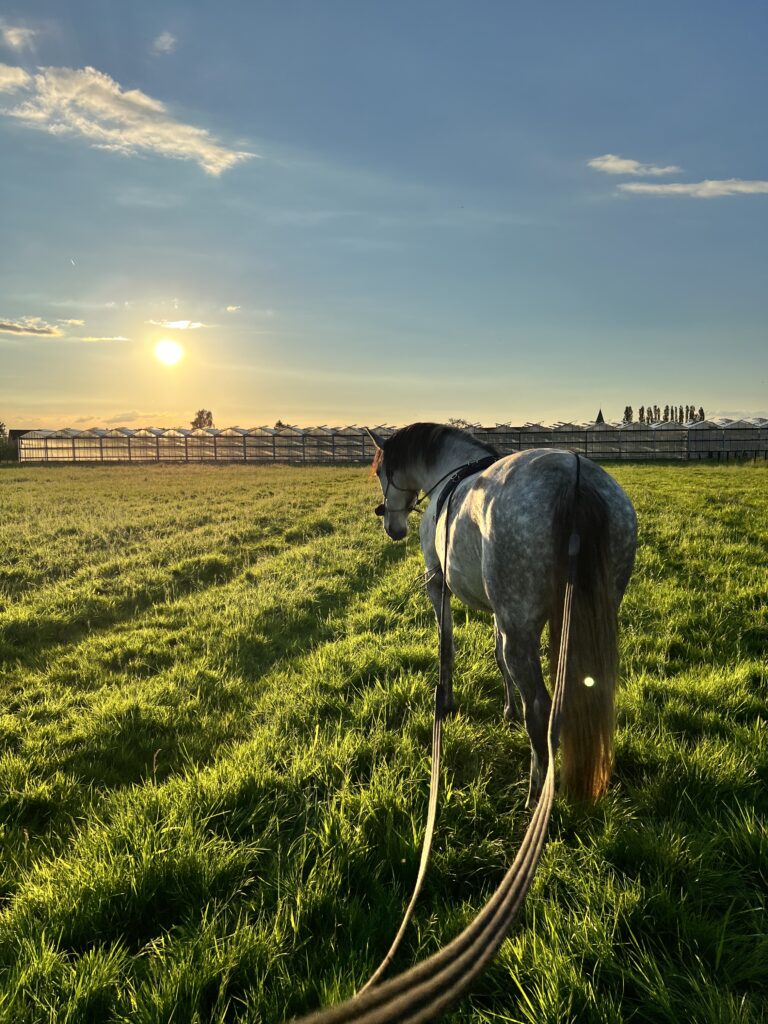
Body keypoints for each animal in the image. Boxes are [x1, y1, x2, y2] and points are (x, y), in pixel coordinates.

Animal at [367, 423, 637, 807]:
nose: (391, 526)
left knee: (539, 707)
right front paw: (509, 711)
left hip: (520, 630)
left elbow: (447, 646)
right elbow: (496, 657)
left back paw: (535, 792)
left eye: (380, 472)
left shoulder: (438, 585)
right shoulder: (500, 611)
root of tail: (573, 478)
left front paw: (446, 701)